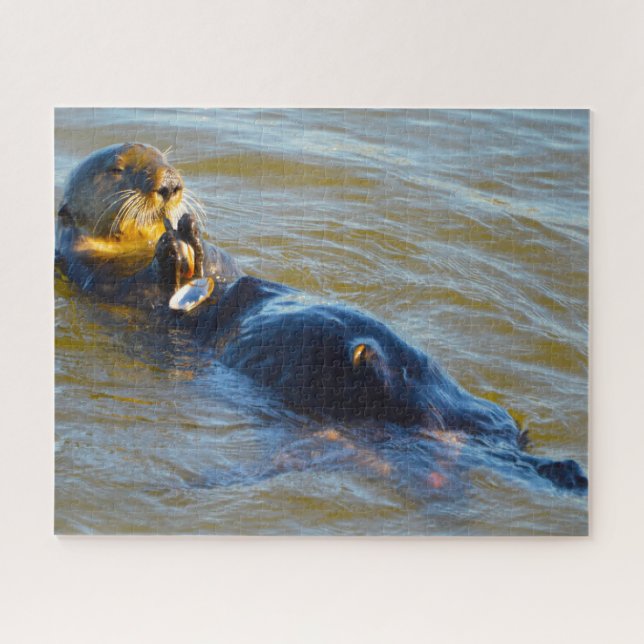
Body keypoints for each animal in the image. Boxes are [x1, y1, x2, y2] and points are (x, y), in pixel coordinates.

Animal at [55, 144, 588, 493]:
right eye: (119, 169)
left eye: (166, 159)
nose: (171, 186)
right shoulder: (94, 277)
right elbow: (139, 286)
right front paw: (173, 251)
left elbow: (222, 266)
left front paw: (192, 233)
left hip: (476, 410)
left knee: (497, 434)